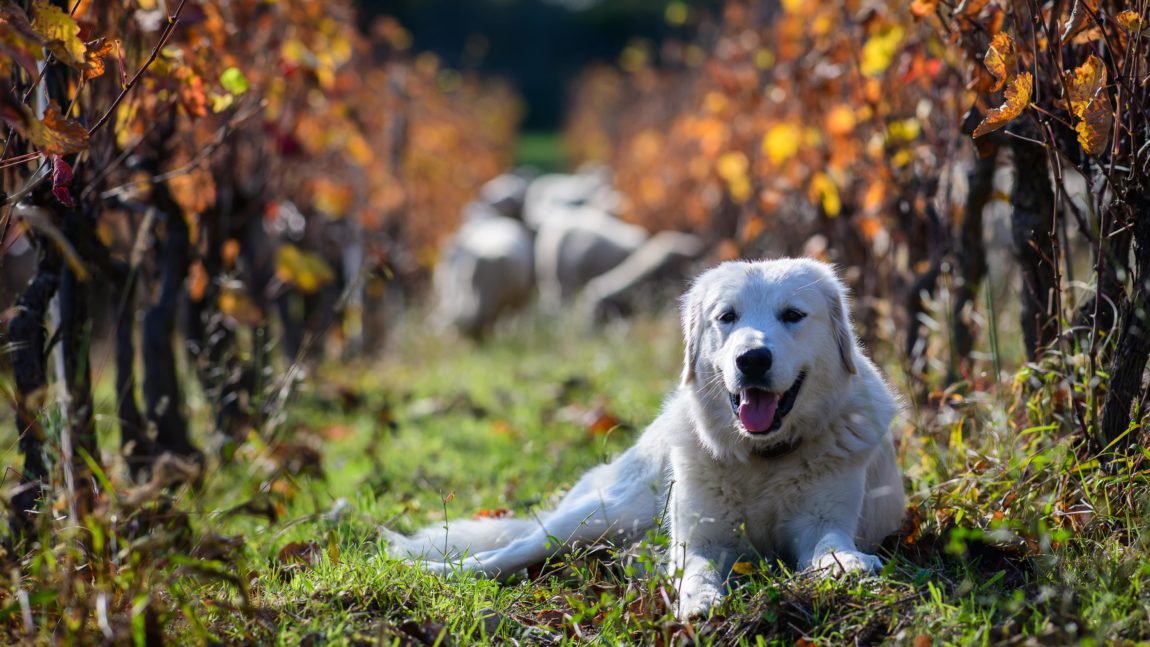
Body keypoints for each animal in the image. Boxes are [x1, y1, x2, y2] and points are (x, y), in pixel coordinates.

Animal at [386, 257, 906, 615]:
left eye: (793, 315)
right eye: (727, 317)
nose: (752, 360)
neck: (761, 459)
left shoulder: (823, 520)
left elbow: (829, 544)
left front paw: (848, 564)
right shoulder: (699, 539)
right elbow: (696, 569)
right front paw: (699, 601)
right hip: (596, 516)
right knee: (508, 552)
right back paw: (433, 571)